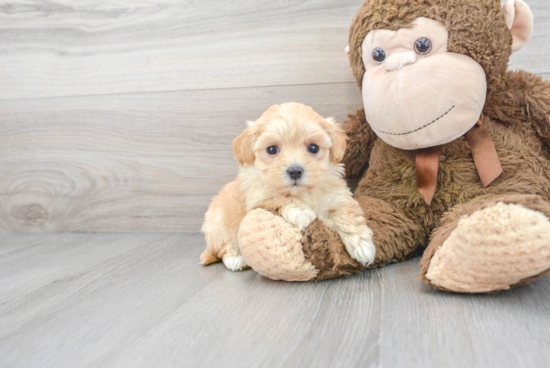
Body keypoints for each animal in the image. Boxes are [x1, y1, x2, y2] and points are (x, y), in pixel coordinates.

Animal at [201, 102, 378, 272]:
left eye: (313, 147)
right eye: (272, 149)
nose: (295, 171)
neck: (303, 192)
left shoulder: (338, 197)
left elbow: (348, 215)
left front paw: (362, 245)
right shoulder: (257, 195)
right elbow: (278, 196)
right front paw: (301, 212)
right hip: (219, 226)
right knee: (224, 247)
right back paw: (236, 258)